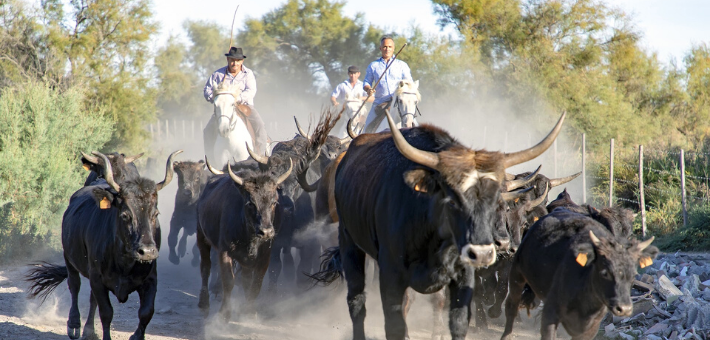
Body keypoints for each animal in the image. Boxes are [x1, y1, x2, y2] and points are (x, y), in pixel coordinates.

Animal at [26, 151, 184, 340]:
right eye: (125, 215)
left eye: (155, 214)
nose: (147, 252)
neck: (125, 262)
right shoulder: (98, 279)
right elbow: (106, 313)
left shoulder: (150, 279)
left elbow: (146, 313)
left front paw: (136, 336)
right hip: (69, 259)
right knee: (74, 286)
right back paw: (74, 325)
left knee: (91, 298)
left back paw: (89, 330)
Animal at [312, 110, 568, 338]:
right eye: (452, 198)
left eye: (500, 203)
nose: (502, 246)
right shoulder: (391, 273)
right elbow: (396, 322)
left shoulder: (463, 275)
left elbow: (456, 314)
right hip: (349, 243)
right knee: (357, 302)